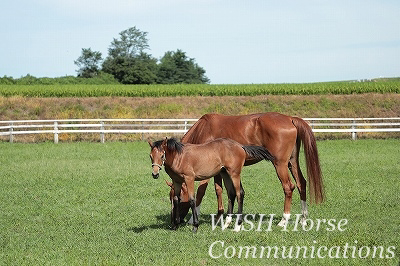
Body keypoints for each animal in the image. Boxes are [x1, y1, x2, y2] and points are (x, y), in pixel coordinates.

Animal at [180, 112, 324, 227]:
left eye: (178, 198)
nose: (178, 221)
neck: (203, 130)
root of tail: (289, 118)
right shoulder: (220, 171)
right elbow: (219, 190)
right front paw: (220, 216)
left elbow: (201, 192)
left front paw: (193, 219)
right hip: (292, 162)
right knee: (301, 184)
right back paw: (303, 219)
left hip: (280, 164)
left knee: (288, 187)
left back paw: (283, 220)